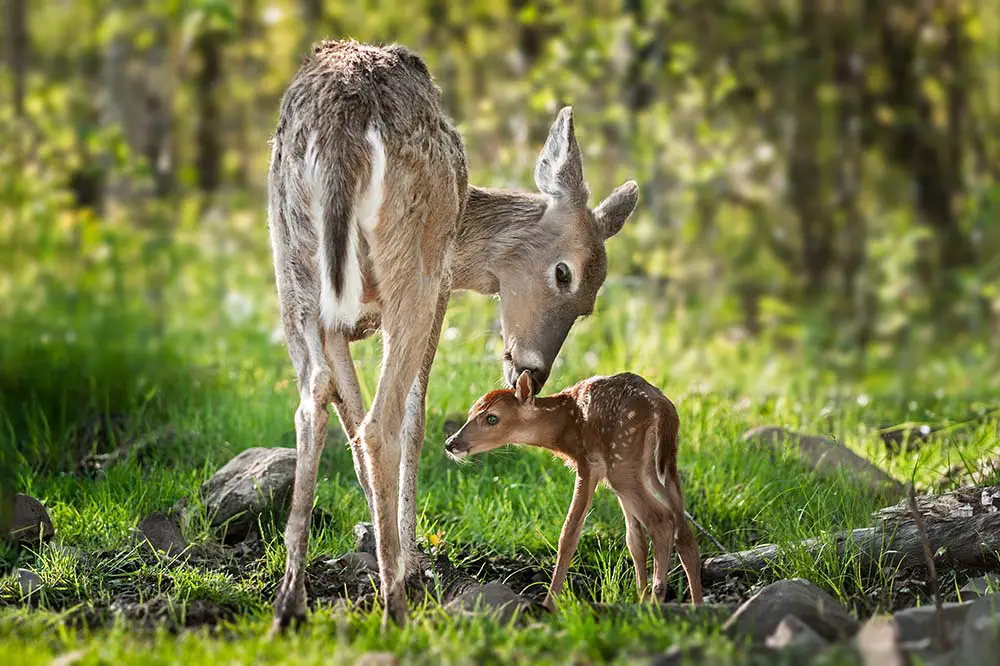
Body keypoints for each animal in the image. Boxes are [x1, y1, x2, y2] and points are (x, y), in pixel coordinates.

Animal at [268, 39, 640, 632]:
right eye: (566, 275)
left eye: (589, 306)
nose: (533, 371)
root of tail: (342, 131)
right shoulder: (442, 286)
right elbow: (415, 415)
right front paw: (410, 562)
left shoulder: (337, 324)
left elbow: (344, 412)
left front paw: (382, 545)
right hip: (413, 265)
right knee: (383, 421)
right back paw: (395, 605)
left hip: (292, 261)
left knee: (313, 403)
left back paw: (289, 603)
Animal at [446, 368, 704, 608]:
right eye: (471, 411)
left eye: (492, 418)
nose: (451, 443)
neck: (564, 428)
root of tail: (663, 410)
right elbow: (635, 541)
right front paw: (638, 596)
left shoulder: (588, 463)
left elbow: (569, 533)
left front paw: (550, 604)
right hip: (658, 465)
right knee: (683, 530)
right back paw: (694, 604)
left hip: (622, 459)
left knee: (661, 520)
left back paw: (657, 600)